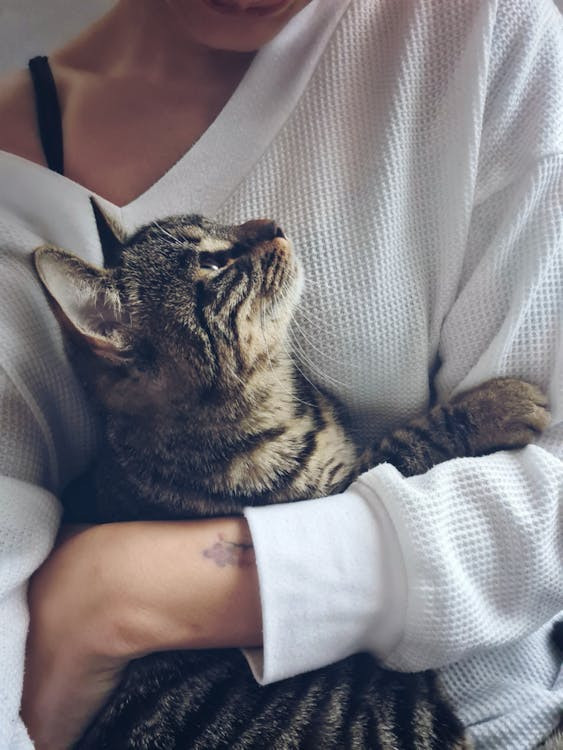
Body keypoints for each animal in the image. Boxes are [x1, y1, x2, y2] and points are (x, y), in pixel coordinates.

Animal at [34, 203, 552, 748]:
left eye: (217, 222)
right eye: (212, 263)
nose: (274, 226)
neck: (275, 396)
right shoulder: (336, 493)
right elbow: (406, 445)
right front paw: (493, 406)